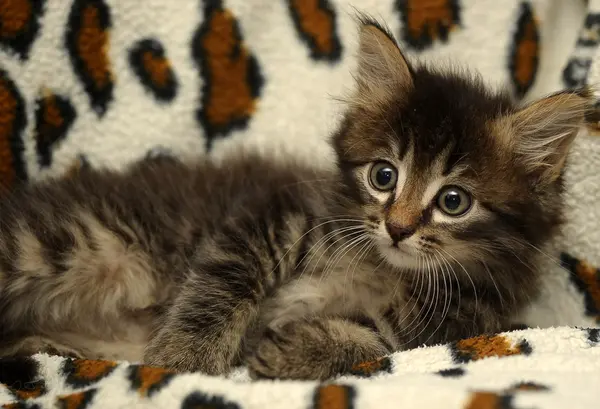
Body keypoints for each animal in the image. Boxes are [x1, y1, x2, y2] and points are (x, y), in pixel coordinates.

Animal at [0, 15, 592, 380]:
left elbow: (375, 338)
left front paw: (293, 348)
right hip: (58, 244)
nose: (398, 228)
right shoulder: (268, 214)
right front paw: (183, 359)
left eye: (453, 202)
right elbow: (221, 285)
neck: (385, 266)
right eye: (384, 176)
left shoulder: (453, 322)